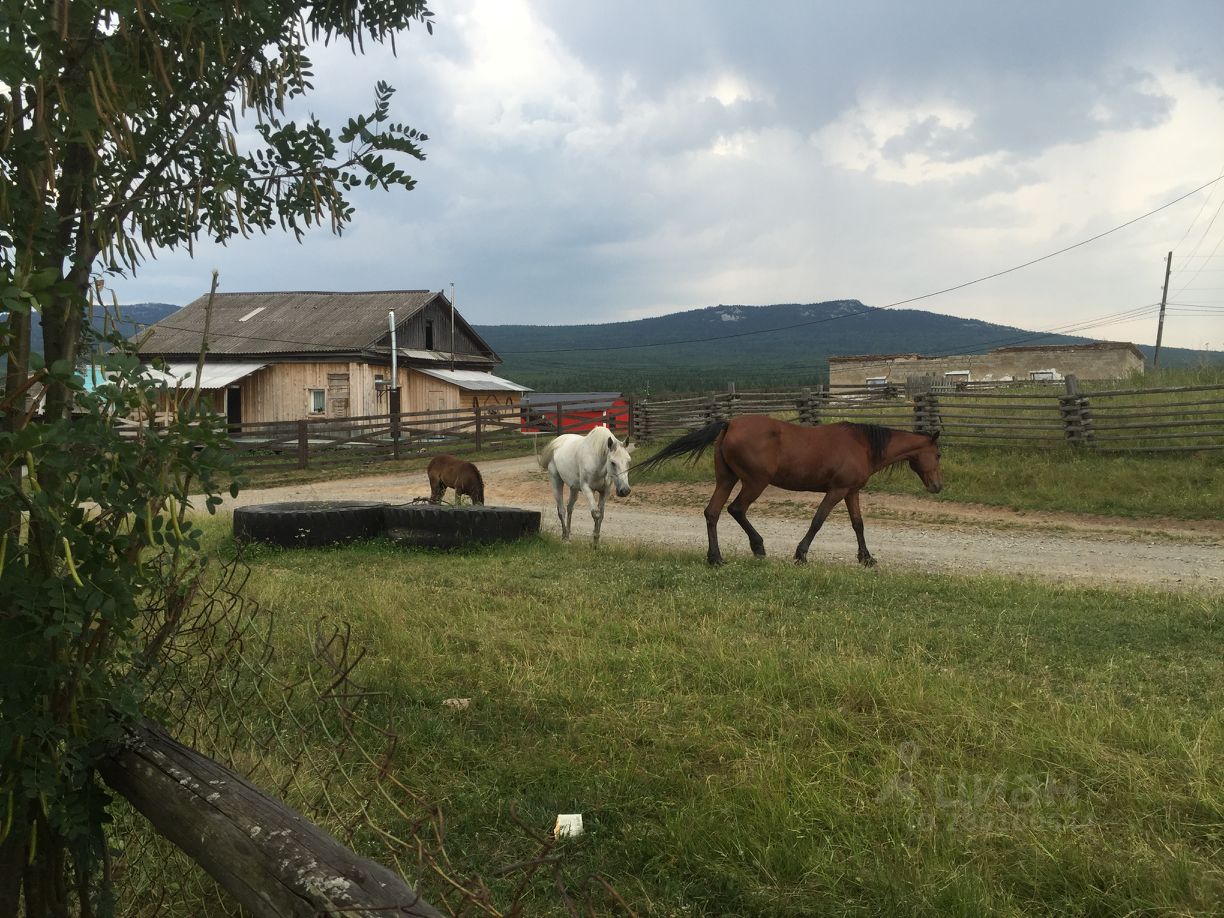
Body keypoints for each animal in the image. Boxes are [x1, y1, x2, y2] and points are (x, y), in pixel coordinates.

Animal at [636, 418, 940, 567]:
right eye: (937, 454)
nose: (938, 486)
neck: (862, 445)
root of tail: (730, 424)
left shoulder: (851, 491)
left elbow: (858, 524)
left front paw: (866, 558)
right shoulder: (837, 490)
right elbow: (818, 521)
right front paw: (801, 554)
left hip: (726, 479)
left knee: (712, 513)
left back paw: (716, 559)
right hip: (755, 482)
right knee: (736, 509)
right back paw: (757, 546)